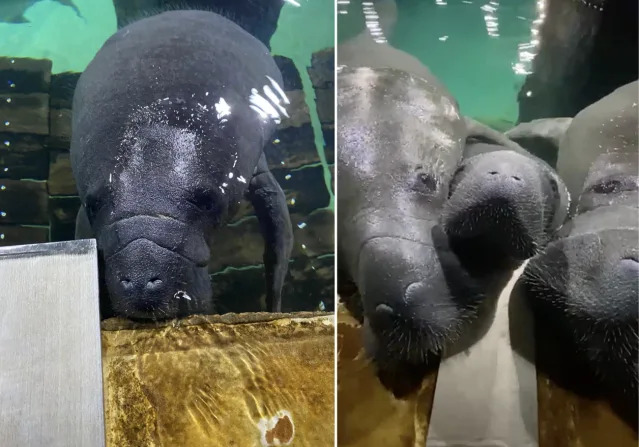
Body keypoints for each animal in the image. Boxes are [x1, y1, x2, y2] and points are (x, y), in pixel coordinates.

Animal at [72, 9, 296, 318]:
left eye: (208, 201)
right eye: (94, 205)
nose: (141, 280)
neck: (153, 119)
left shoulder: (253, 167)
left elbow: (278, 241)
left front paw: (274, 309)